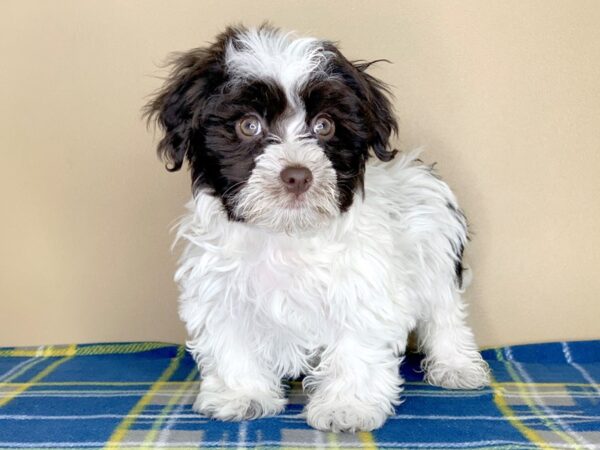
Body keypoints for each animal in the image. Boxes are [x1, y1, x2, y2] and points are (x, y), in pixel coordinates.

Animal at [144, 24, 488, 432]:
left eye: (324, 125)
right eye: (248, 125)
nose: (297, 175)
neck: (286, 235)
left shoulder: (362, 286)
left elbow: (356, 347)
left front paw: (347, 406)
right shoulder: (221, 291)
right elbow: (233, 343)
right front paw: (242, 395)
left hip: (436, 256)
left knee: (446, 314)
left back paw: (456, 366)